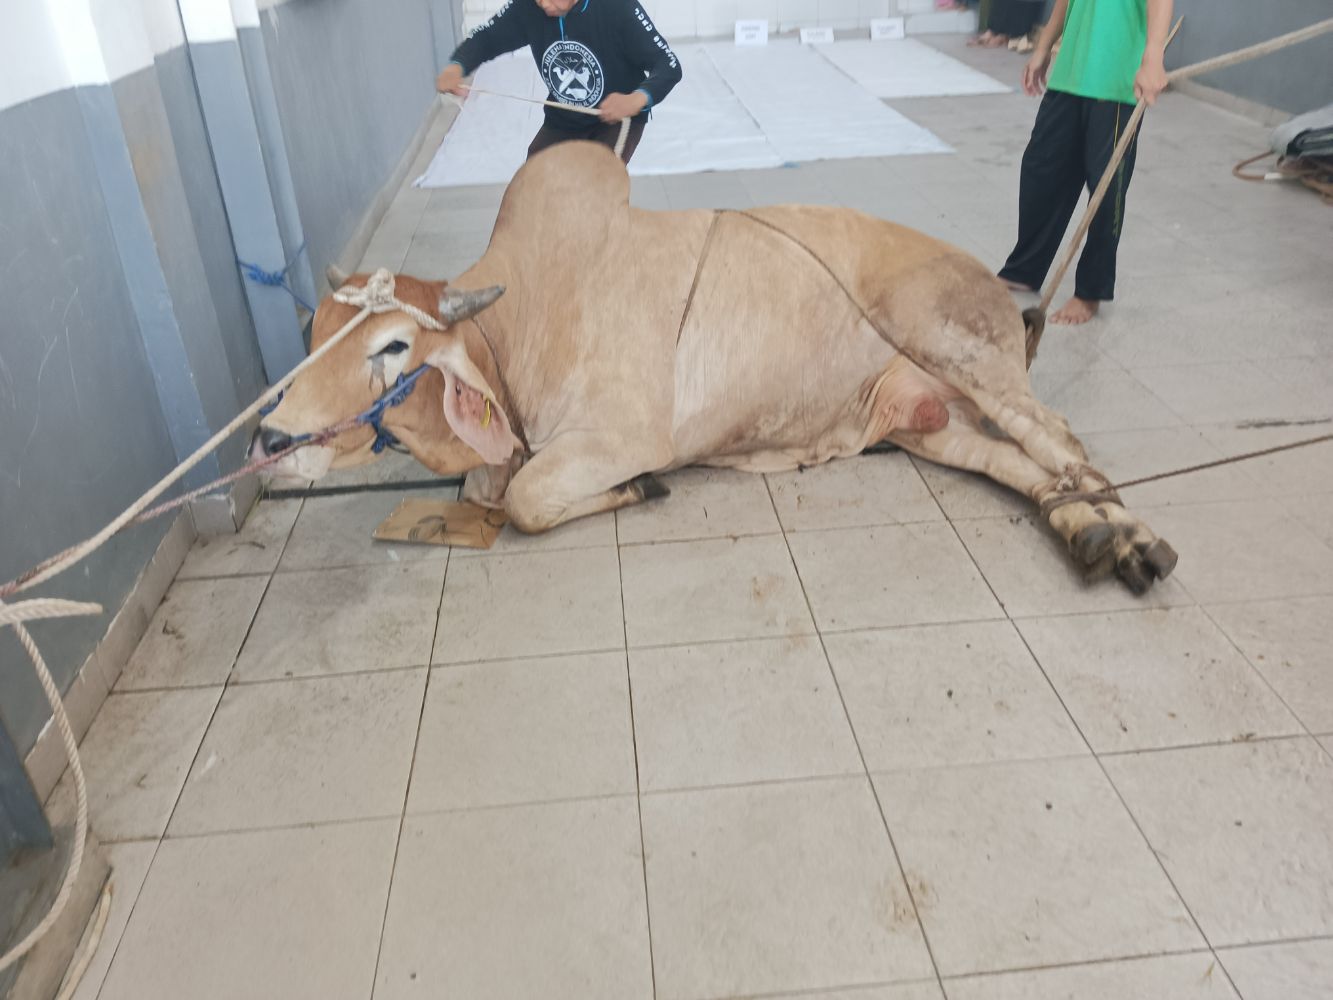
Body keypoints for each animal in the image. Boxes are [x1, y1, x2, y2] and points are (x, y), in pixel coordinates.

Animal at [253, 142, 1176, 593]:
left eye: (392, 346)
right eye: (312, 333)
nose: (268, 438)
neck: (520, 323)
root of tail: (994, 286)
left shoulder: (622, 435)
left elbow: (522, 502)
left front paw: (639, 490)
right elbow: (490, 493)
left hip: (958, 345)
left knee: (1061, 443)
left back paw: (1134, 539)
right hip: (932, 423)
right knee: (1023, 466)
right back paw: (1091, 534)